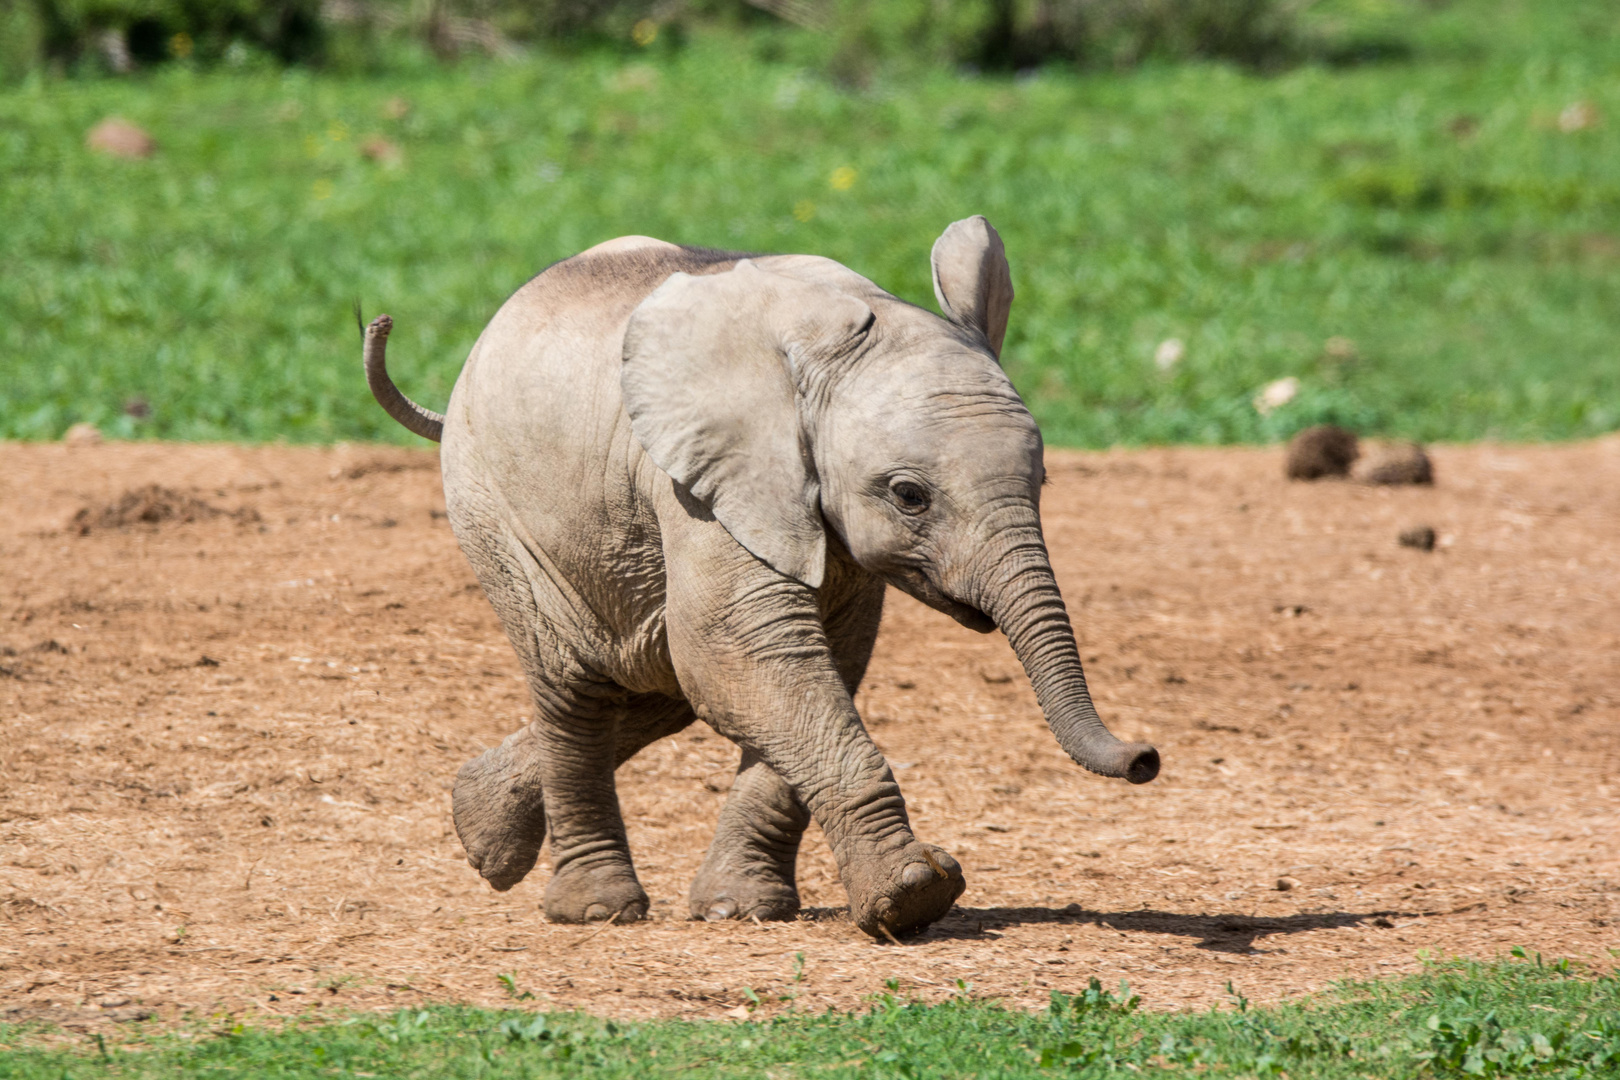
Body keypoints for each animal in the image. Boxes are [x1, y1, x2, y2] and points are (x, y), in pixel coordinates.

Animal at [362, 220, 1159, 939]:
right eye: (909, 495)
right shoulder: (701, 484)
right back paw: (593, 909)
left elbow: (809, 668)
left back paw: (483, 829)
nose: (1145, 758)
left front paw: (741, 910)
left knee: (654, 677)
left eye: (1042, 480)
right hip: (492, 507)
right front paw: (914, 894)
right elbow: (746, 657)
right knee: (579, 684)